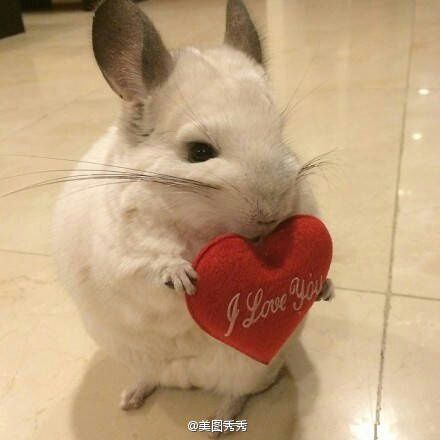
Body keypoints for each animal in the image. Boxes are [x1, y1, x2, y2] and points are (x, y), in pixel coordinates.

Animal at [53, 0, 332, 427]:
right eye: (199, 152)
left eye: (280, 135)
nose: (271, 213)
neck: (204, 228)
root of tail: (188, 381)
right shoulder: (123, 258)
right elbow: (150, 267)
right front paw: (181, 276)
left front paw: (323, 287)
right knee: (151, 378)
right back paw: (131, 398)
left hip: (251, 370)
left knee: (238, 393)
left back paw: (219, 424)